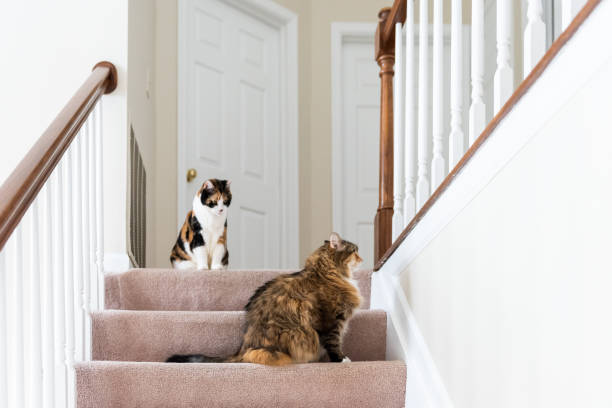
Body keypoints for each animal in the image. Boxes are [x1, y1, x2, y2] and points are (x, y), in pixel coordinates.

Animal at [166, 233, 364, 366]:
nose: (362, 259)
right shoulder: (331, 320)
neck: (325, 273)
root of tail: (243, 347)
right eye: (355, 251)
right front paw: (342, 360)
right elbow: (334, 343)